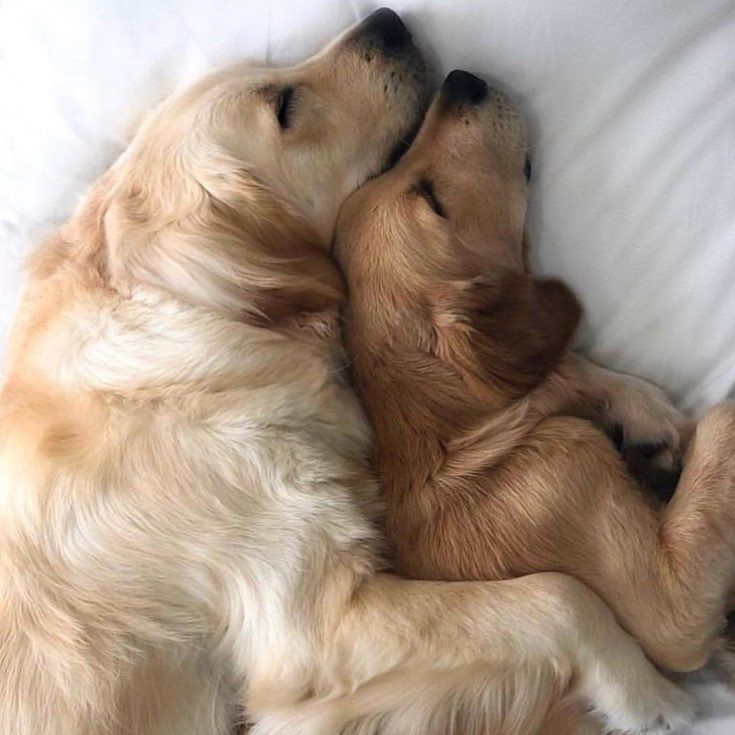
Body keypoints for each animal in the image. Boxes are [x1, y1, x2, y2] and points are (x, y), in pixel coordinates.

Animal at [0, 7, 688, 735]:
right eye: (283, 105)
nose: (387, 19)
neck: (190, 324)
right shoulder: (316, 627)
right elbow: (558, 596)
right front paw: (645, 692)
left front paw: (643, 411)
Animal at [340, 64, 735, 684]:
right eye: (430, 198)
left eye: (394, 159)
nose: (460, 77)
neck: (463, 433)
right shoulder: (666, 610)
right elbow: (719, 425)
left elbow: (578, 367)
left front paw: (647, 419)